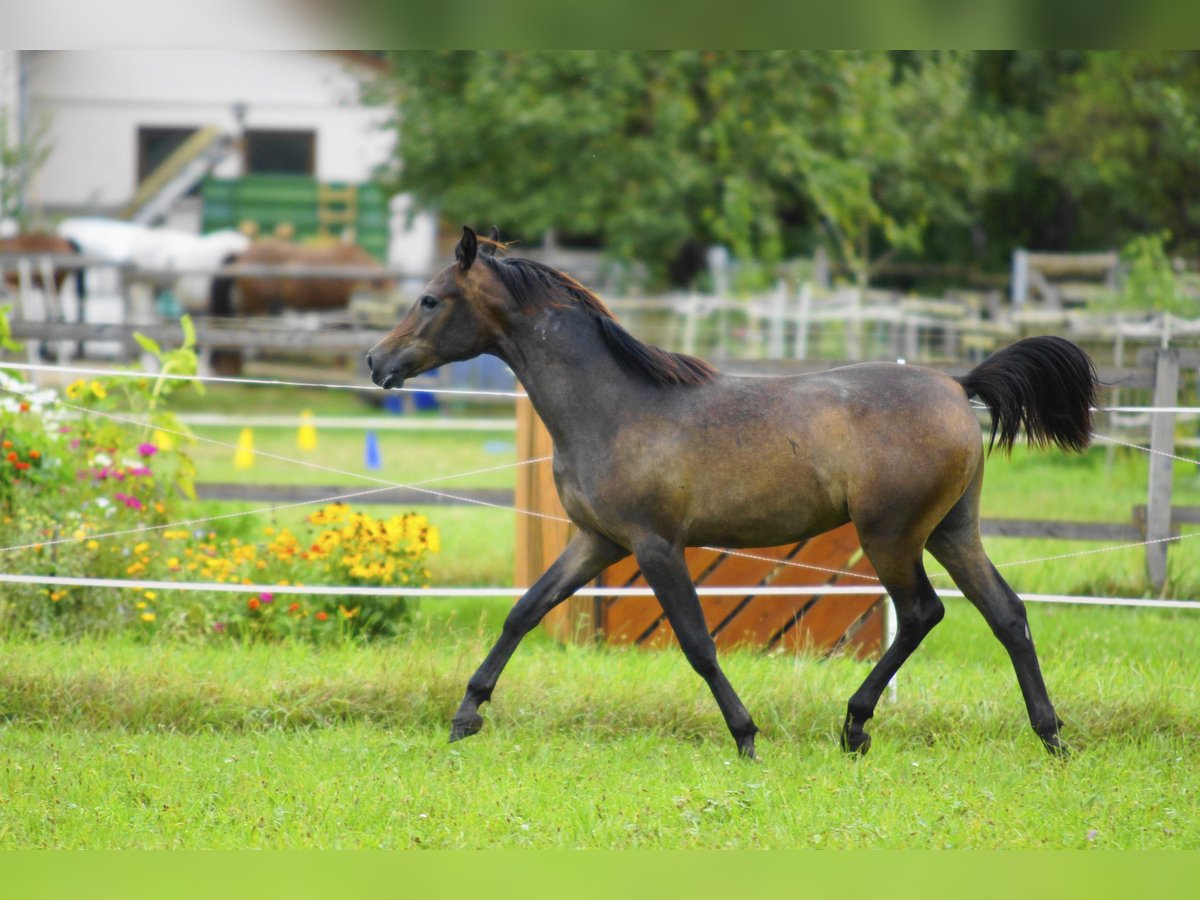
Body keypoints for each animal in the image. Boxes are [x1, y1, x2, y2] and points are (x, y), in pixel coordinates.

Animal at [362, 226, 1099, 763]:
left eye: (429, 300)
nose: (376, 361)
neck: (615, 406)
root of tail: (956, 384)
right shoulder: (596, 542)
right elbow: (524, 611)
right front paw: (466, 715)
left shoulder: (656, 546)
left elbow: (696, 642)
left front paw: (745, 736)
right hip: (951, 530)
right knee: (1007, 614)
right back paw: (1051, 736)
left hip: (891, 536)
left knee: (923, 613)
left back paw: (856, 726)